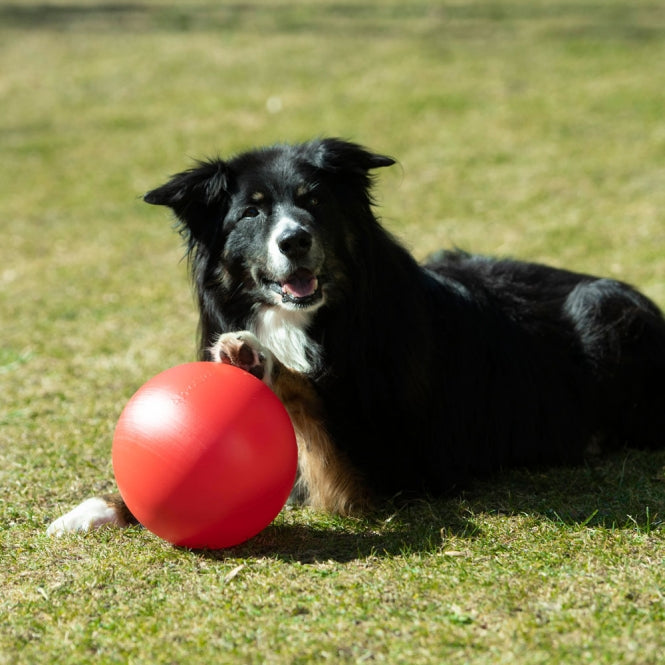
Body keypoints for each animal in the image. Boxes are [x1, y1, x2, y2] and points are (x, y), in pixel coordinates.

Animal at [48, 136, 664, 536]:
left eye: (314, 201)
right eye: (251, 213)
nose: (294, 240)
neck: (323, 319)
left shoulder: (397, 465)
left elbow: (314, 414)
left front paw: (259, 361)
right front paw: (100, 507)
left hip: (604, 304)